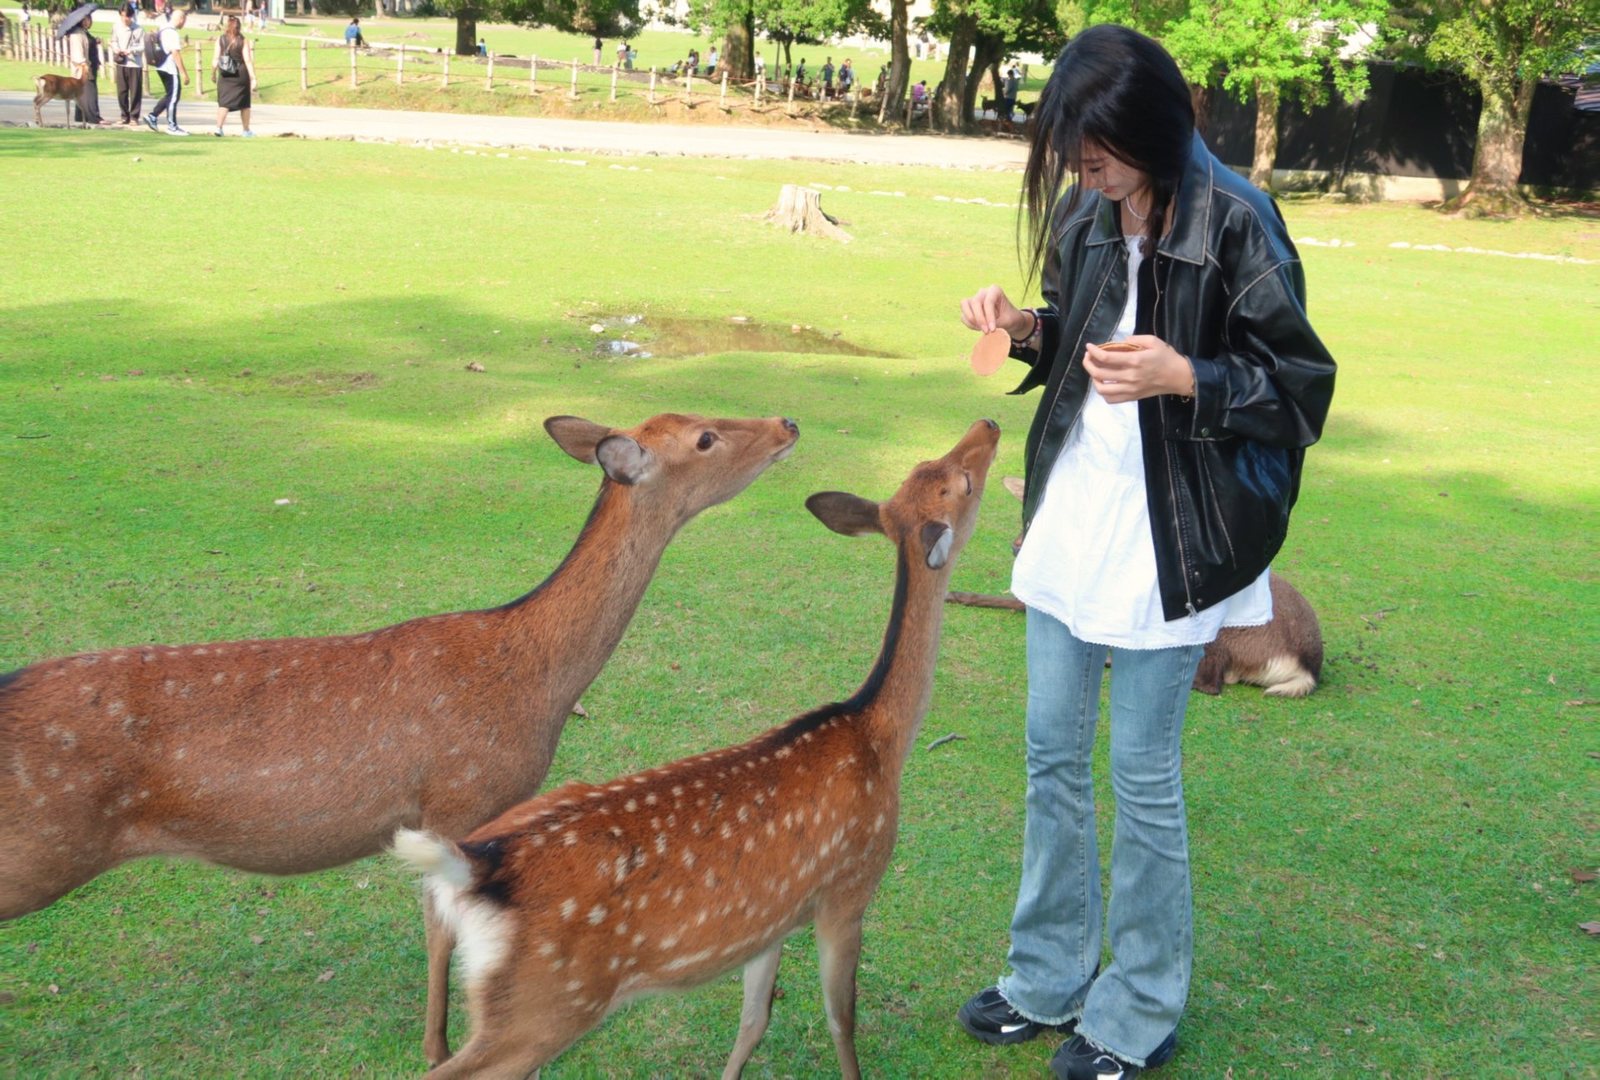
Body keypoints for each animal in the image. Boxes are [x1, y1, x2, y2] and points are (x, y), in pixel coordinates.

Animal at [0, 411, 800, 1063]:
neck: (537, 682)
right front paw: (436, 1045)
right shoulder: (459, 798)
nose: (787, 422)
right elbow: (441, 931)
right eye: (705, 437)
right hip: (35, 848)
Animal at [393, 418, 1001, 1079]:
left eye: (930, 466)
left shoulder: (775, 914)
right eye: (964, 483)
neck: (881, 736)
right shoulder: (850, 885)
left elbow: (754, 1019)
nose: (989, 425)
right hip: (545, 1006)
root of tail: (473, 866)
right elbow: (843, 1019)